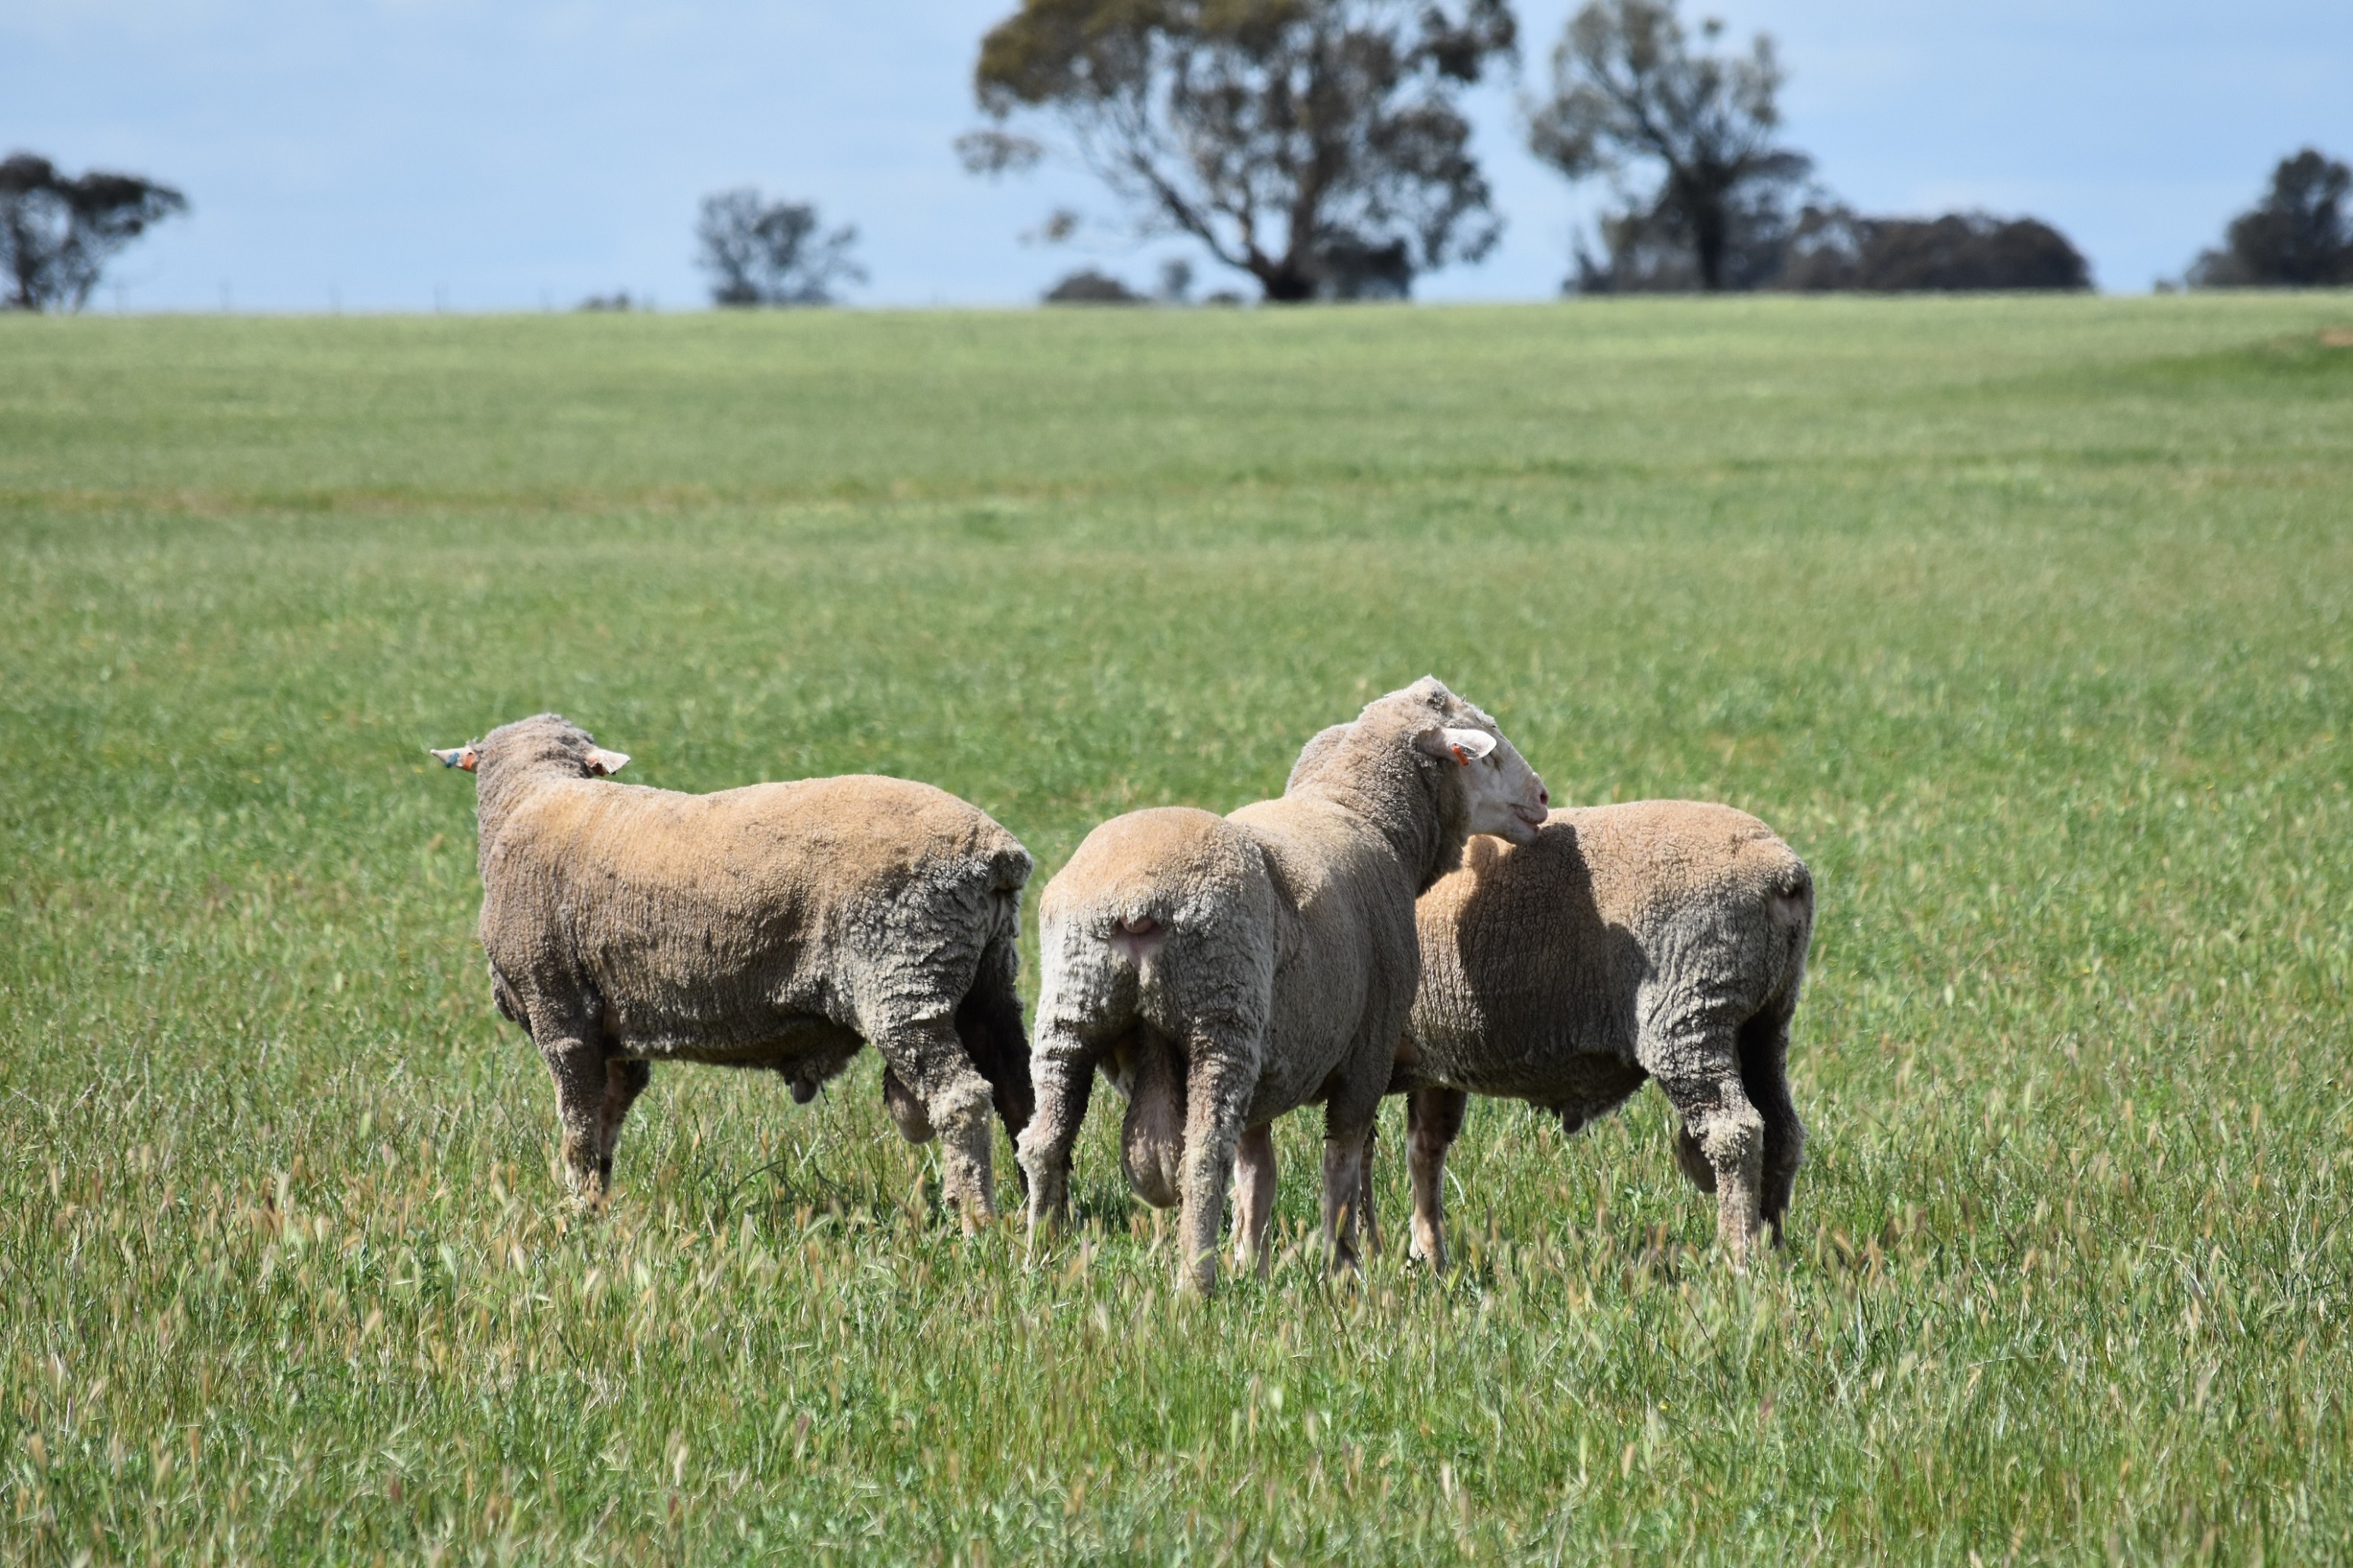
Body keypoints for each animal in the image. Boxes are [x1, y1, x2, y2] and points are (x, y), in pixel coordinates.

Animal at [429, 714, 1032, 1225]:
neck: (531, 796)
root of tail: (996, 856)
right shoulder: (613, 1032)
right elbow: (606, 1124)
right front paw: (598, 1210)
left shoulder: (560, 1010)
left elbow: (577, 1127)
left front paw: (576, 1216)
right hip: (986, 979)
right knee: (1018, 1090)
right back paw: (1037, 1212)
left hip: (903, 979)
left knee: (962, 1097)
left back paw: (977, 1222)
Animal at [1016, 678, 1550, 1292]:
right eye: (1487, 751)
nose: (1543, 798)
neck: (1360, 813)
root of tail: (1134, 900)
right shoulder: (1367, 1052)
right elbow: (1341, 1168)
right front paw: (1342, 1268)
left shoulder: (1273, 1066)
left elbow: (1259, 1175)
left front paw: (1254, 1264)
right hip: (1221, 1016)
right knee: (1204, 1156)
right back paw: (1195, 1284)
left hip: (1070, 1010)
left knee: (1044, 1143)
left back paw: (1040, 1262)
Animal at [1389, 800, 1813, 1271]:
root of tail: (1781, 872)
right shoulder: (1433, 1063)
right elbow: (1425, 1150)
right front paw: (1428, 1258)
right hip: (1764, 1018)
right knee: (1782, 1132)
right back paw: (1773, 1247)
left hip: (1690, 1010)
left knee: (1734, 1132)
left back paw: (1738, 1257)